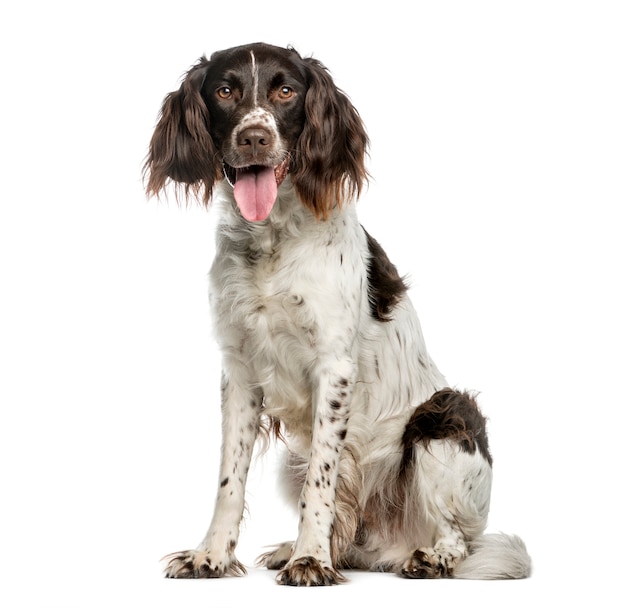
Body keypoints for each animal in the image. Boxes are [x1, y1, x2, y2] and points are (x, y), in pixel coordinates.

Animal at [144, 41, 528, 584]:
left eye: (286, 91)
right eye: (224, 91)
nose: (255, 138)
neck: (272, 242)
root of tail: (389, 544)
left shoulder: (334, 368)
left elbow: (320, 483)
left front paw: (310, 560)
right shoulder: (238, 370)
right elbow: (229, 481)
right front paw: (212, 556)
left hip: (443, 417)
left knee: (458, 537)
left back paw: (426, 558)